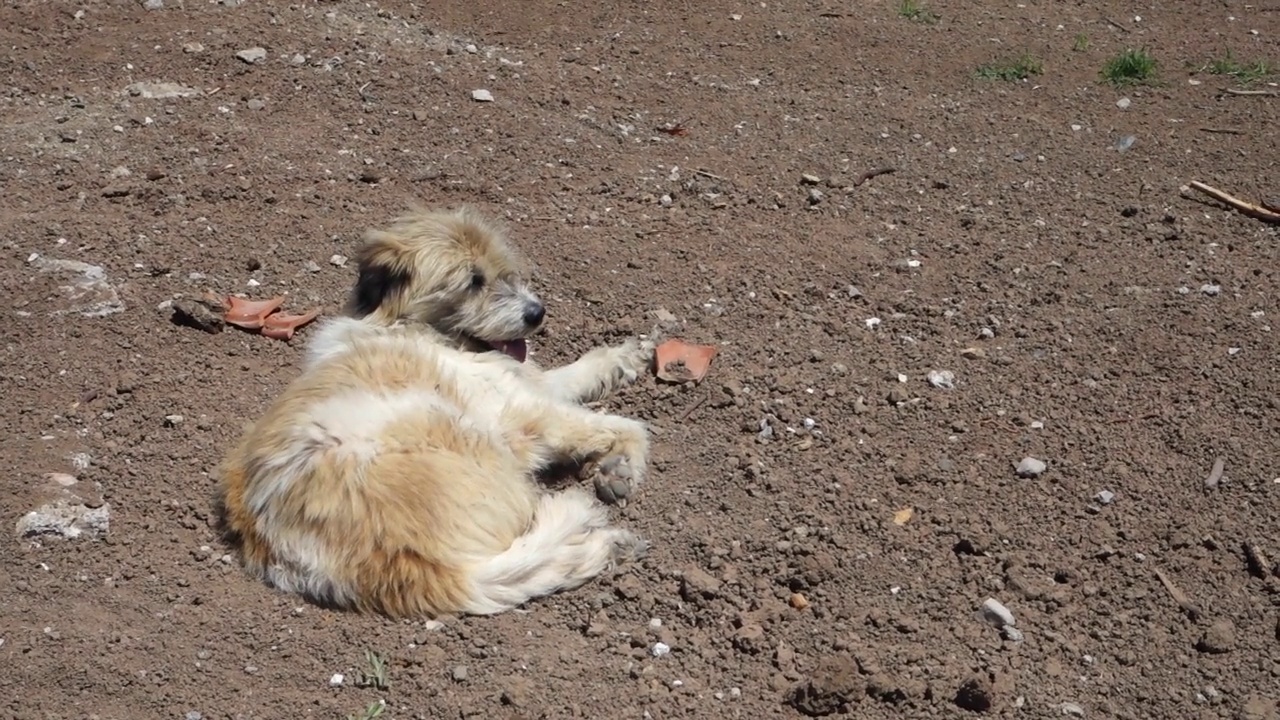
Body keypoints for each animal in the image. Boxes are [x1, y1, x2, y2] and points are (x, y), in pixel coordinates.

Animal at [216, 203, 655, 617]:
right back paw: (608, 539)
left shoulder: (526, 384)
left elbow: (575, 374)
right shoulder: (525, 413)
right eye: (472, 282)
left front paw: (624, 357)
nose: (537, 313)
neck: (409, 328)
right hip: (469, 435)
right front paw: (623, 466)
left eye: (503, 272)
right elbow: (621, 424)